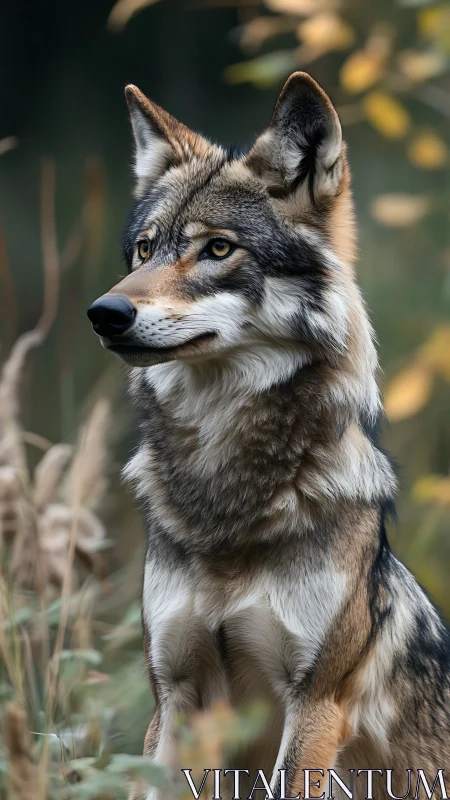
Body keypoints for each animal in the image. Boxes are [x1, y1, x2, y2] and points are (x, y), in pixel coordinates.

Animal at [87, 73, 450, 799]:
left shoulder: (315, 703)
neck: (225, 499)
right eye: (144, 249)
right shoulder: (176, 695)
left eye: (218, 248)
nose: (105, 313)